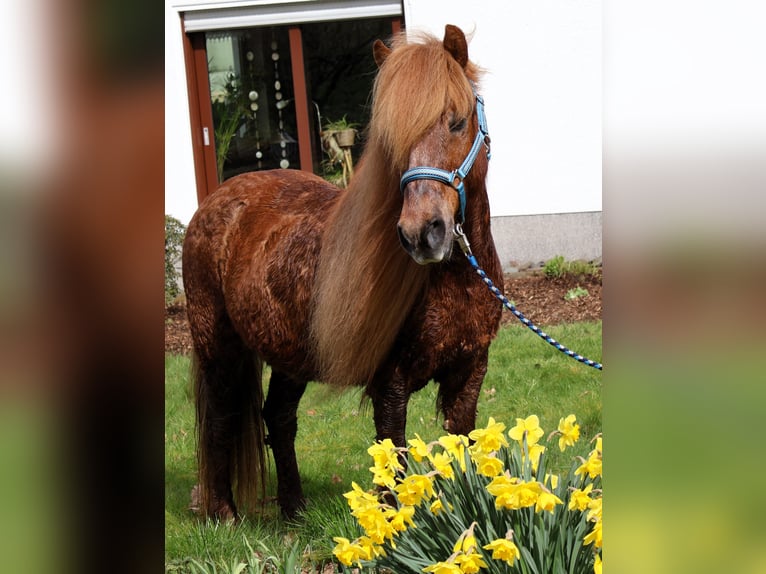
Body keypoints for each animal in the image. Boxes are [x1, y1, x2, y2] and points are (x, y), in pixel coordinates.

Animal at [184, 24, 508, 520]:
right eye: (390, 139)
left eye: (457, 122)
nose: (421, 233)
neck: (456, 280)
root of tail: (216, 201)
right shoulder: (391, 384)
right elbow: (394, 463)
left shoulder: (470, 372)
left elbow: (465, 447)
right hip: (218, 347)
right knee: (222, 417)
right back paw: (224, 514)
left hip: (291, 356)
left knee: (278, 417)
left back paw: (295, 511)